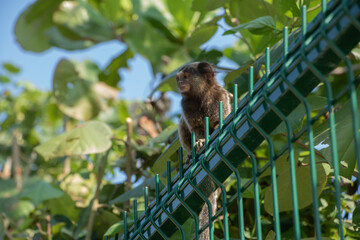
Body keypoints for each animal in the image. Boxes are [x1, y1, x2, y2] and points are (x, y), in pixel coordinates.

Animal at [176, 62, 232, 240]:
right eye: (179, 78)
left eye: (185, 77)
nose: (179, 83)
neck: (201, 95)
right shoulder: (185, 105)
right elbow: (197, 129)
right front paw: (200, 141)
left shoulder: (220, 97)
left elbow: (221, 119)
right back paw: (189, 155)